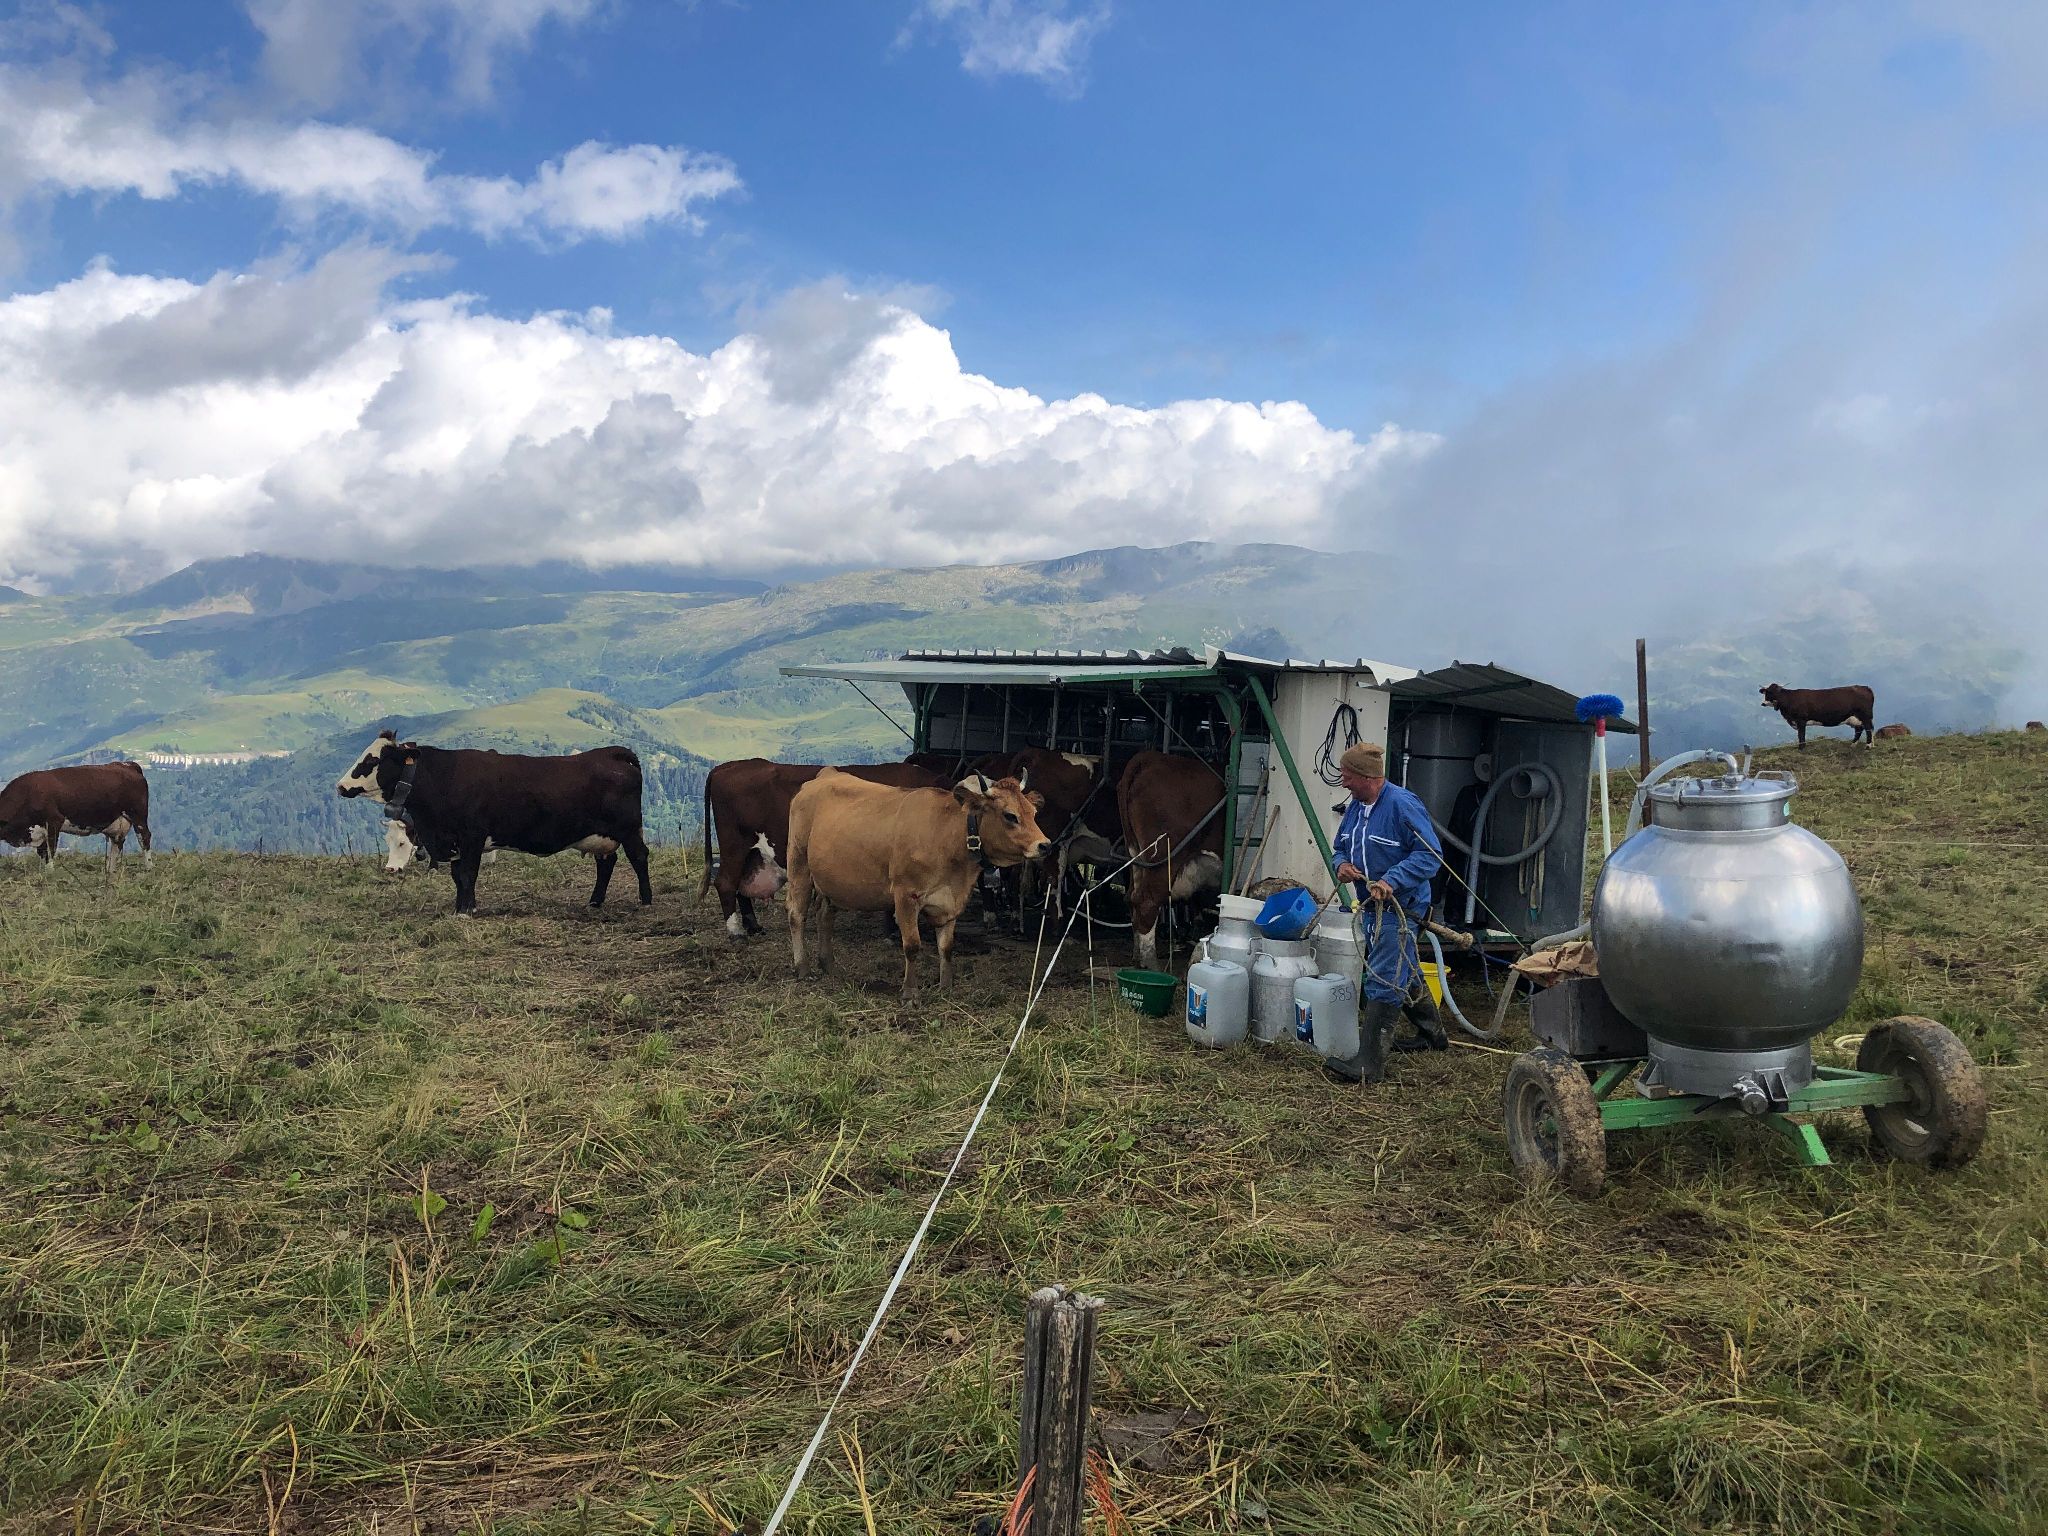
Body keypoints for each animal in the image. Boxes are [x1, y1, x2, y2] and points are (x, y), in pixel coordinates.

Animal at [0, 762, 153, 874]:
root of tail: (128, 764)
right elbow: (42, 852)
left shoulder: (54, 821)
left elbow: (50, 850)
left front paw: (50, 873)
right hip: (119, 821)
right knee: (117, 842)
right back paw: (110, 870)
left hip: (137, 814)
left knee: (144, 837)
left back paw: (149, 868)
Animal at [337, 730, 651, 915]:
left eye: (372, 760)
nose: (340, 786)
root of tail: (613, 753)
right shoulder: (455, 842)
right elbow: (457, 877)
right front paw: (463, 907)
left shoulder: (471, 836)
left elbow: (467, 874)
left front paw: (465, 912)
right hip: (602, 835)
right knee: (606, 863)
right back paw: (595, 901)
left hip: (628, 829)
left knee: (639, 857)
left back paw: (646, 900)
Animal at [698, 759, 945, 939]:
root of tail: (729, 765)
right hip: (734, 846)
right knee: (726, 883)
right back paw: (736, 932)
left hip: (752, 854)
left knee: (741, 887)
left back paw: (753, 926)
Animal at [784, 769, 1051, 1007]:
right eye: (1010, 815)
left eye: (1033, 812)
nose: (1045, 845)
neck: (948, 836)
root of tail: (826, 774)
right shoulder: (906, 896)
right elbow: (912, 945)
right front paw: (910, 993)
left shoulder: (951, 901)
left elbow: (946, 947)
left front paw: (946, 986)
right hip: (799, 864)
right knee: (797, 915)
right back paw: (803, 967)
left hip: (831, 881)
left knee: (824, 916)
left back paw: (828, 964)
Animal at [1116, 751, 1228, 971]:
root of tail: (1151, 757)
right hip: (1164, 857)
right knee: (1146, 901)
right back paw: (1151, 963)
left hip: (1136, 855)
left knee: (1131, 898)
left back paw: (1137, 956)